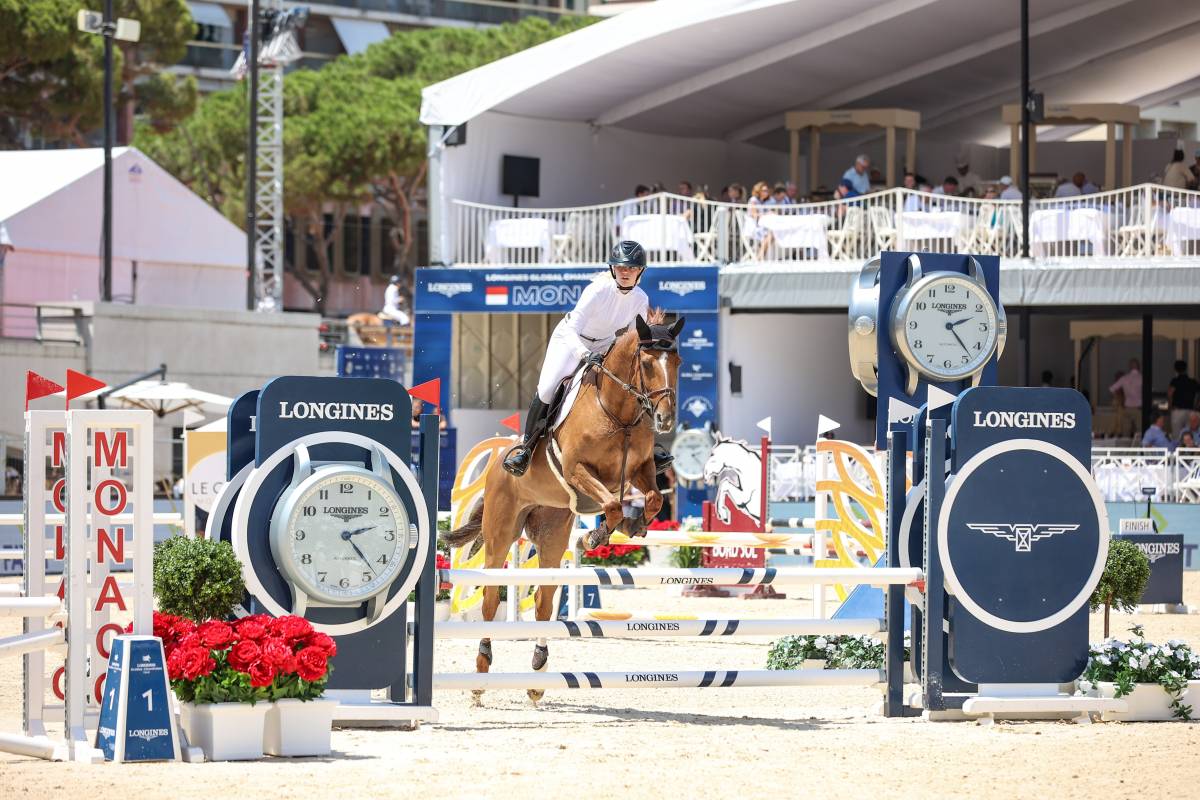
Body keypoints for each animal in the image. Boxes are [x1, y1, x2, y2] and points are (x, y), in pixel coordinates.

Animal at [444, 309, 686, 705]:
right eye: (648, 363)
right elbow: (612, 503)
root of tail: (497, 458)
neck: (619, 413)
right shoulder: (577, 470)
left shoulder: (641, 470)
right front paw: (598, 537)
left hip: (552, 533)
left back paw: (538, 672)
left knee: (544, 603)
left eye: (677, 361)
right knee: (490, 600)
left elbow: (653, 498)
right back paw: (480, 677)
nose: (664, 420)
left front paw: (633, 527)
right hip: (500, 533)